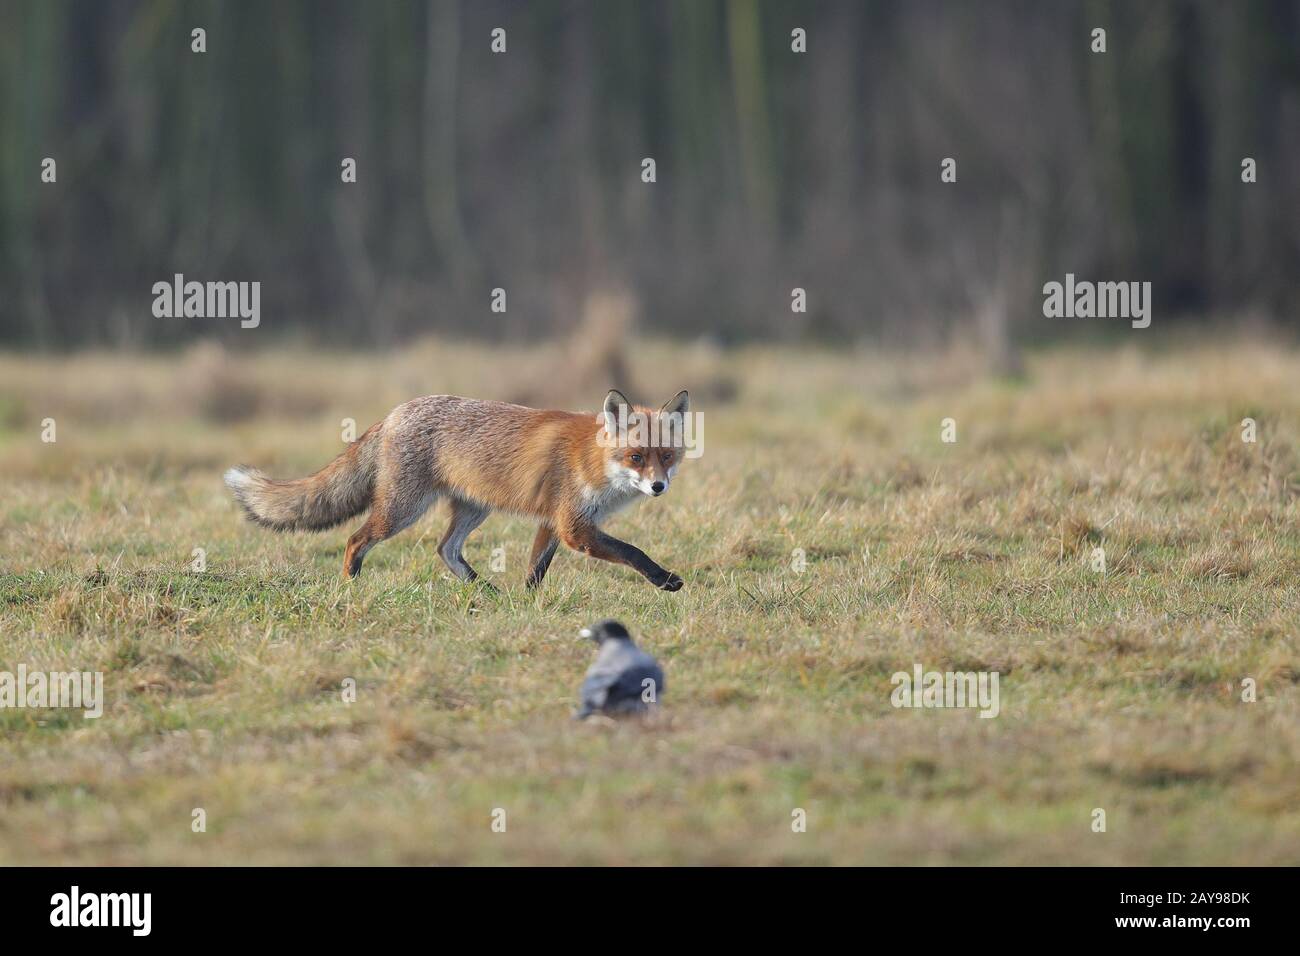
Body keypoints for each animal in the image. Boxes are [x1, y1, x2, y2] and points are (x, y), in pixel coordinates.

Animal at [223, 390, 691, 590]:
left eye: (666, 456)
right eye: (636, 457)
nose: (658, 486)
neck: (595, 463)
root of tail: (394, 413)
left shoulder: (555, 521)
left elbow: (536, 570)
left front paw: (527, 603)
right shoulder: (574, 526)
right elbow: (632, 551)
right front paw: (665, 579)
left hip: (472, 509)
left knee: (445, 549)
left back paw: (483, 590)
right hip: (402, 510)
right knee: (356, 539)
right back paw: (350, 586)